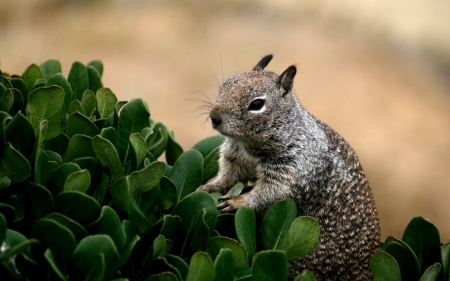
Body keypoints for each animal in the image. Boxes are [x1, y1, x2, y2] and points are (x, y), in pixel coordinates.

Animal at [197, 54, 380, 280]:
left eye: (256, 104)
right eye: (225, 85)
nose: (214, 117)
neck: (248, 145)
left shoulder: (291, 170)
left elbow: (270, 193)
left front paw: (239, 201)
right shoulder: (235, 157)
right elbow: (228, 175)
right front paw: (212, 186)